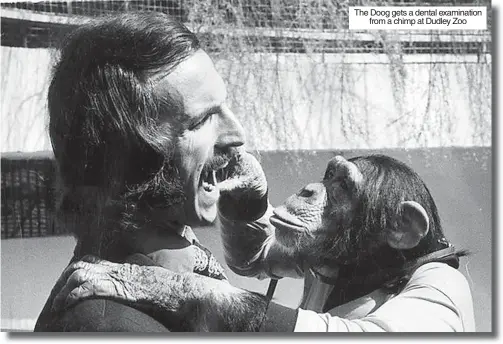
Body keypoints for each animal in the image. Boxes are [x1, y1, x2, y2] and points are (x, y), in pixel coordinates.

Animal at [49, 153, 474, 330]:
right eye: (330, 175)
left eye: (341, 185)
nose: (308, 189)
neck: (376, 267)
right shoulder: (311, 261)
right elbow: (261, 254)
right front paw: (246, 174)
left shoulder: (440, 287)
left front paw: (144, 280)